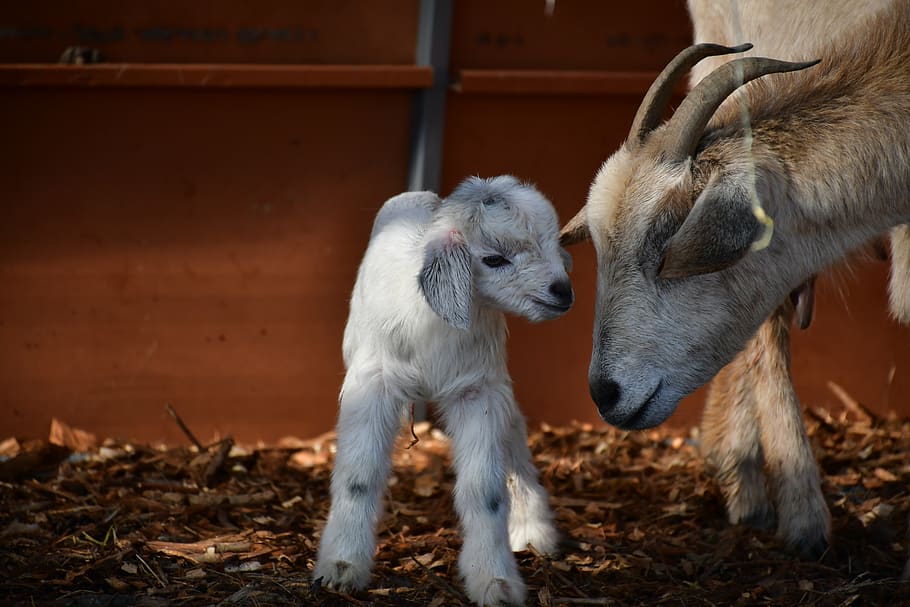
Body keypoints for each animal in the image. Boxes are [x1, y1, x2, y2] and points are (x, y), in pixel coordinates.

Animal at [313, 175, 572, 606]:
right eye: (494, 259)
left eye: (554, 243)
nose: (563, 292)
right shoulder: (373, 383)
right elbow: (358, 476)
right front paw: (341, 567)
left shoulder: (479, 390)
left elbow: (485, 491)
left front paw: (495, 582)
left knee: (515, 441)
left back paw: (534, 533)